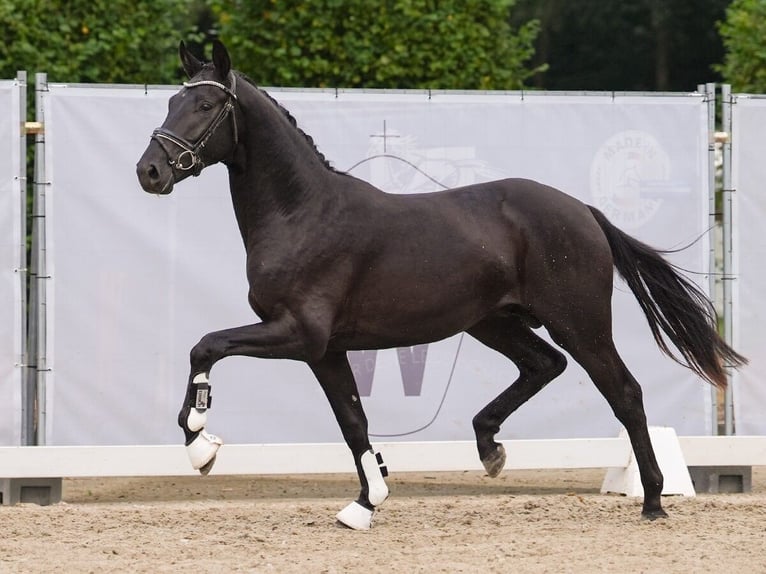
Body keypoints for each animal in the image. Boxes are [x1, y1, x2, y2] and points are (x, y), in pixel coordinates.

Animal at [136, 40, 744, 532]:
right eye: (170, 103)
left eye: (206, 106)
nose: (150, 172)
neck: (303, 214)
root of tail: (583, 211)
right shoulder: (326, 350)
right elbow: (353, 421)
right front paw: (366, 503)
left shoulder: (298, 334)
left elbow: (206, 346)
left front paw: (200, 444)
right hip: (493, 323)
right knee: (544, 365)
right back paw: (490, 448)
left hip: (581, 324)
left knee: (625, 392)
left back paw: (653, 501)